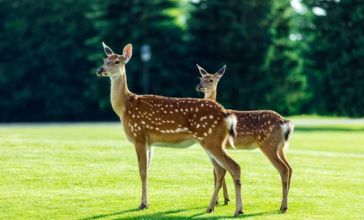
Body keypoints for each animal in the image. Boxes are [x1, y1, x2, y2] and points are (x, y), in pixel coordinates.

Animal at [96, 42, 245, 217]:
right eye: (105, 59)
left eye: (117, 61)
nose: (100, 69)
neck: (124, 108)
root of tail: (226, 113)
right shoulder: (149, 142)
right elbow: (147, 171)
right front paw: (146, 202)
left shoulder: (138, 135)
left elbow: (142, 171)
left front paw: (142, 204)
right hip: (211, 141)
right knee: (222, 170)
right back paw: (214, 207)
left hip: (211, 139)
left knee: (233, 167)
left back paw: (235, 209)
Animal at [195, 64, 294, 213]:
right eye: (201, 78)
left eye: (211, 80)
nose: (199, 86)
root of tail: (285, 121)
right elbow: (219, 172)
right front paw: (224, 199)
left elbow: (218, 172)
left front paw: (218, 201)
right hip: (280, 147)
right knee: (290, 168)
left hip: (268, 144)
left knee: (284, 169)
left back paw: (283, 206)